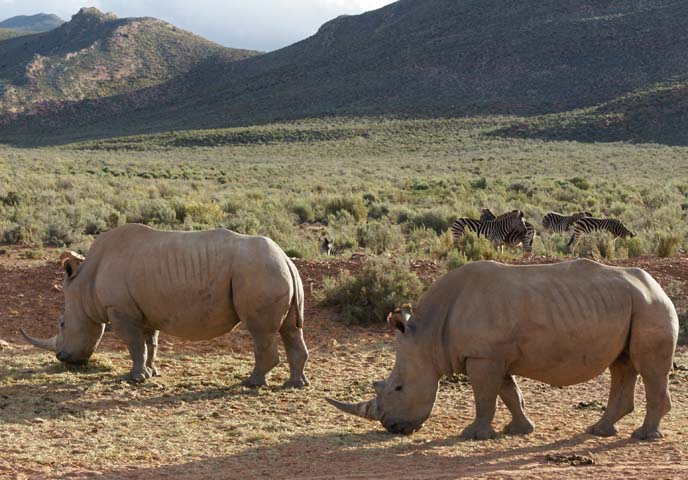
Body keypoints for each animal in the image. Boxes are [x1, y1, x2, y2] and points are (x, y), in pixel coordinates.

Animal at [22, 223, 310, 388]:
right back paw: (295, 384)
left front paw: (134, 379)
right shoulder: (146, 311)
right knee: (290, 330)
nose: (62, 358)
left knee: (261, 331)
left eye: (62, 323)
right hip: (273, 270)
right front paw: (152, 373)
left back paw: (252, 384)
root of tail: (286, 257)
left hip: (259, 272)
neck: (85, 284)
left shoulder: (121, 310)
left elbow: (134, 345)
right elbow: (150, 344)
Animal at [326, 260, 676, 440]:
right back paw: (600, 431)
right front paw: (519, 430)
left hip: (650, 306)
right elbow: (509, 394)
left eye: (398, 388)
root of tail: (659, 285)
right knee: (623, 365)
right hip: (635, 305)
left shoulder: (483, 356)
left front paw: (473, 434)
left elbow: (485, 397)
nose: (391, 427)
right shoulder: (494, 354)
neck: (427, 333)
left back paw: (644, 436)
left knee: (647, 368)